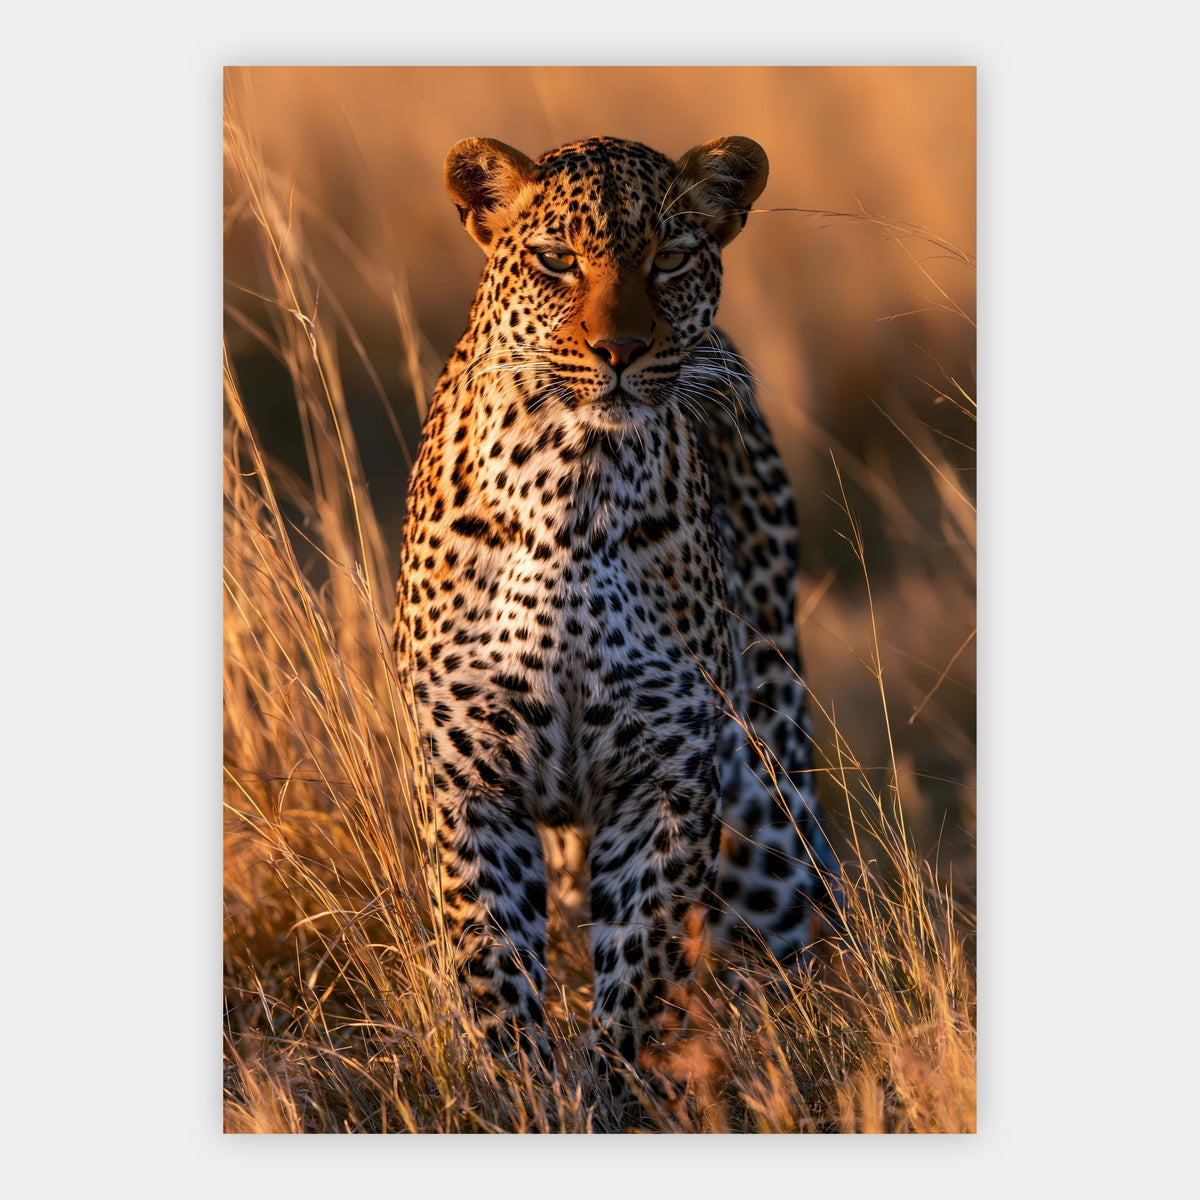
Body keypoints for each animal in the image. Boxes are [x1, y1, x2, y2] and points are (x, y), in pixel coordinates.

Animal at [393, 134, 840, 1084]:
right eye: (556, 260)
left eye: (669, 258)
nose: (621, 350)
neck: (573, 482)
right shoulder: (469, 782)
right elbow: (492, 962)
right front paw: (520, 1094)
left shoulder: (667, 780)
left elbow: (642, 967)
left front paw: (612, 1093)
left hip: (767, 799)